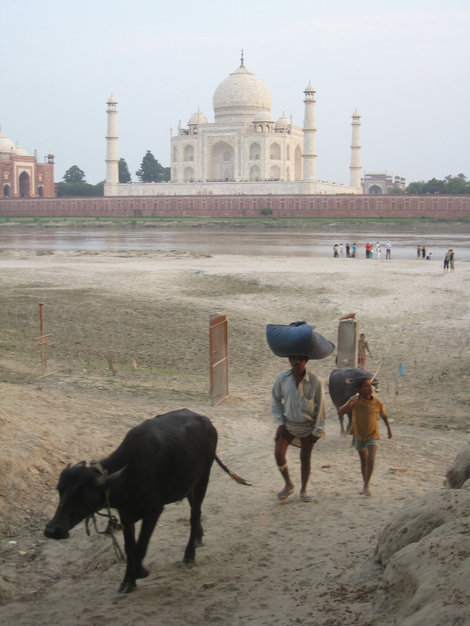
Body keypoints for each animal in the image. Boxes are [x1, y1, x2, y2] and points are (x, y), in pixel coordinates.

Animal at [44, 408, 250, 592]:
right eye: (60, 490)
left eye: (82, 495)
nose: (52, 530)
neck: (127, 475)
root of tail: (207, 422)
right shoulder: (126, 515)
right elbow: (130, 547)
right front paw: (127, 581)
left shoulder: (153, 510)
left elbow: (141, 546)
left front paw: (139, 572)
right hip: (189, 485)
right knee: (195, 512)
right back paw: (199, 538)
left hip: (202, 480)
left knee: (194, 515)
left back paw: (189, 556)